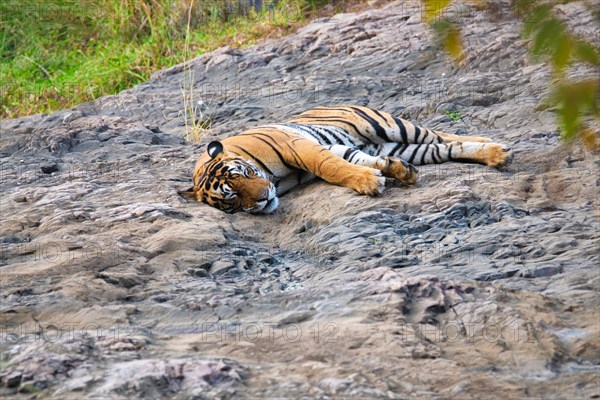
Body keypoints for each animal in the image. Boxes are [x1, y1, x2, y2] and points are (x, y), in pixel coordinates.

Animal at [178, 104, 510, 214]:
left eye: (244, 174)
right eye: (231, 197)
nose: (263, 198)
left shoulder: (300, 146)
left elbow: (332, 169)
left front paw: (369, 184)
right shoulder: (334, 148)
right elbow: (348, 163)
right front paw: (382, 174)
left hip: (389, 125)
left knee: (440, 134)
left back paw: (495, 148)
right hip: (395, 145)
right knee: (441, 148)